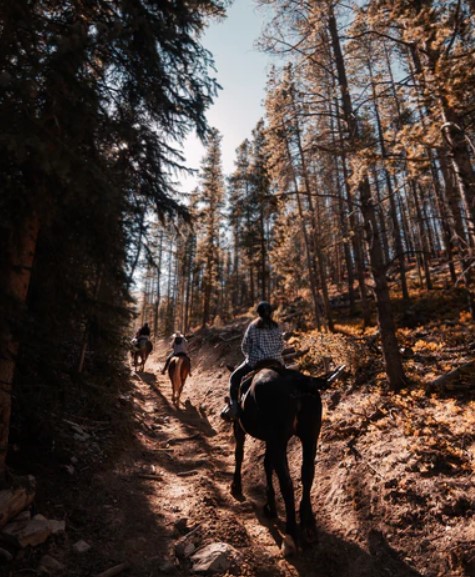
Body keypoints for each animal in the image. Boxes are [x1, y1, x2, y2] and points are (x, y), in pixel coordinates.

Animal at [230, 362, 342, 556]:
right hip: (310, 435)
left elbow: (240, 454)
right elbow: (267, 464)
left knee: (287, 483)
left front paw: (236, 486)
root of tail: (300, 383)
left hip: (279, 439)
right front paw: (270, 505)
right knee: (307, 474)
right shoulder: (272, 440)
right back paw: (308, 526)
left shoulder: (242, 428)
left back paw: (290, 536)